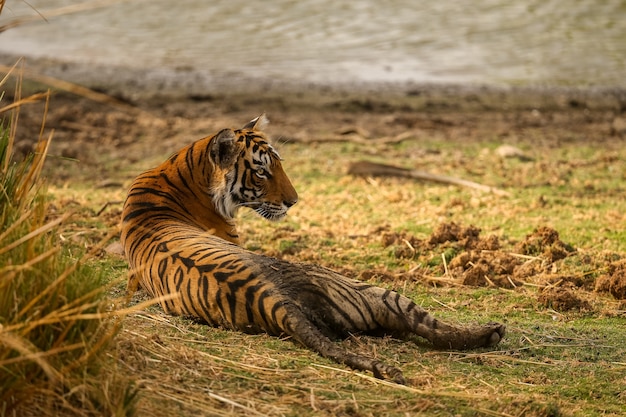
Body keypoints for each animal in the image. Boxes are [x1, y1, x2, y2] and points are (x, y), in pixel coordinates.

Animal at [120, 114, 502, 384]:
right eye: (262, 172)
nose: (294, 201)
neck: (181, 171)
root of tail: (267, 297)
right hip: (363, 287)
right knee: (427, 324)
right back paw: (490, 332)